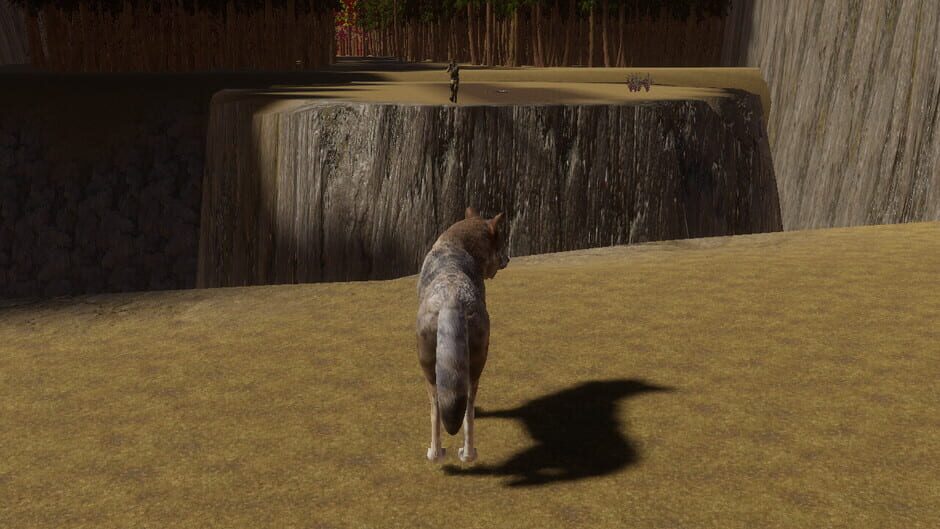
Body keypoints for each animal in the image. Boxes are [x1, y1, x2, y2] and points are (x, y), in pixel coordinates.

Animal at [416, 207, 510, 463]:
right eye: (502, 242)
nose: (508, 259)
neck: (457, 243)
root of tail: (452, 298)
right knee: (464, 407)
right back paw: (463, 455)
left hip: (432, 370)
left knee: (441, 407)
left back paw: (440, 454)